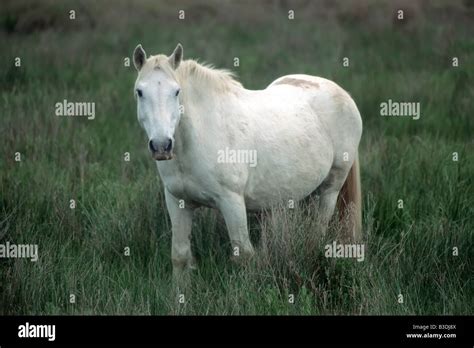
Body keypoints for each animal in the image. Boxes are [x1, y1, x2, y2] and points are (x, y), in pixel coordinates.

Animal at [133, 42, 362, 278]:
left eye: (176, 92)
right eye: (139, 92)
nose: (161, 145)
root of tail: (342, 93)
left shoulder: (231, 202)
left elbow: (243, 256)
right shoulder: (178, 203)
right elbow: (180, 257)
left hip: (331, 188)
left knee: (319, 229)